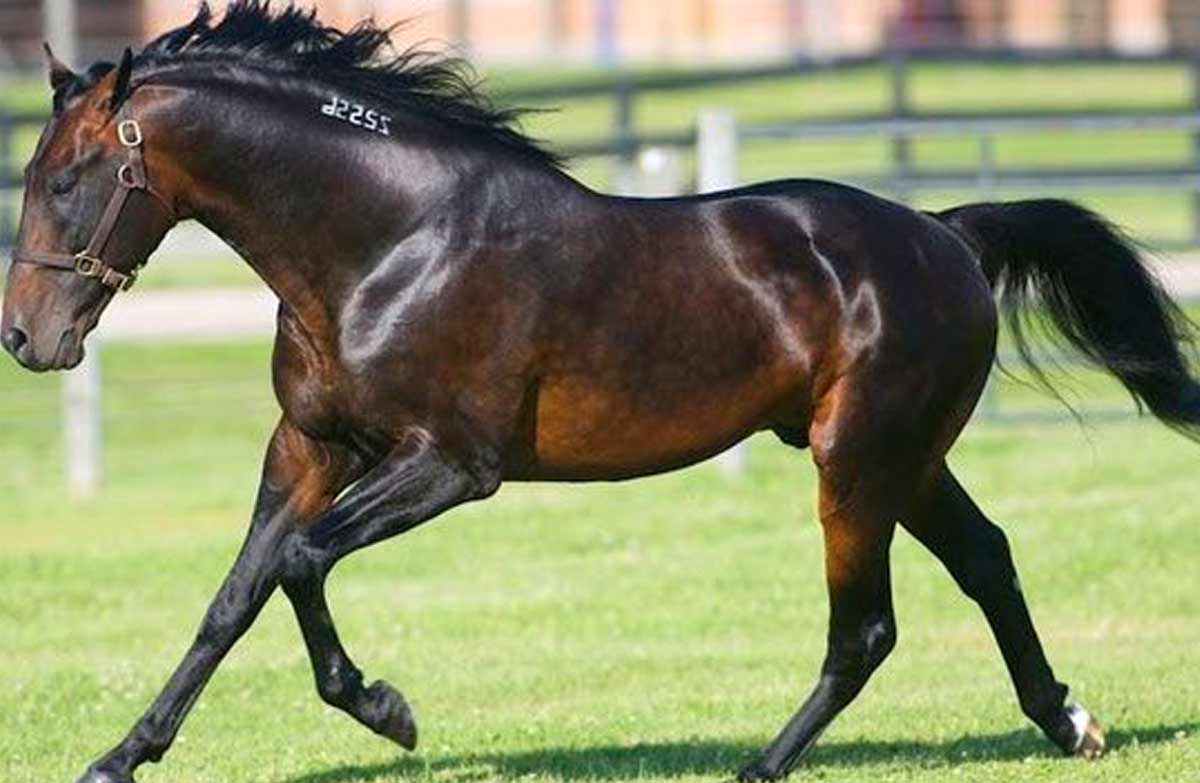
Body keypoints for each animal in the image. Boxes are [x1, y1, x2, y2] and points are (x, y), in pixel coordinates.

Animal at [5, 4, 1197, 782]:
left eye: (65, 181)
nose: (25, 337)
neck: (386, 245)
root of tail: (948, 235)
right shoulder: (307, 446)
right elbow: (233, 598)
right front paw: (119, 757)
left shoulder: (451, 464)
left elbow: (298, 564)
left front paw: (390, 711)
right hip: (902, 458)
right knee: (987, 559)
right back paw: (1070, 722)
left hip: (858, 460)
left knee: (865, 628)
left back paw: (761, 768)